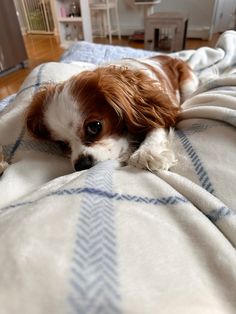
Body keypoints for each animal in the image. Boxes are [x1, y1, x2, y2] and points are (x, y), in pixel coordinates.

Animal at [25, 54, 198, 172]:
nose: (82, 165)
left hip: (189, 85)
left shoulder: (161, 106)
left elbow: (158, 124)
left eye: (94, 127)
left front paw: (148, 152)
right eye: (62, 144)